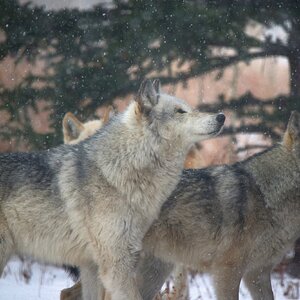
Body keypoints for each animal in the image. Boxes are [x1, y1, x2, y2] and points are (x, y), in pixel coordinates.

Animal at [0, 79, 225, 300]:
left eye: (190, 108)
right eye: (180, 111)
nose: (221, 116)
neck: (118, 169)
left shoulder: (92, 267)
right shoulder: (116, 264)